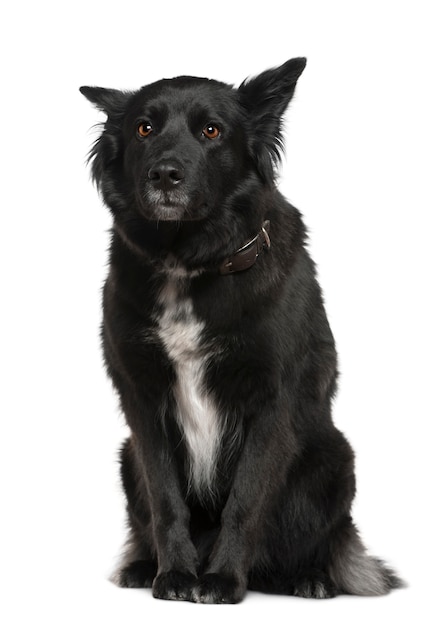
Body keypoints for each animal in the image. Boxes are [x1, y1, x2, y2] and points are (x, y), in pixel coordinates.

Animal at [80, 58, 402, 600]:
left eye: (211, 130)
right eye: (144, 128)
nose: (164, 174)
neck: (190, 263)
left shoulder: (271, 403)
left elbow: (246, 502)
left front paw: (223, 580)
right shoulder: (143, 402)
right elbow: (167, 500)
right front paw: (175, 575)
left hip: (334, 460)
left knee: (323, 540)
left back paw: (310, 578)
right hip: (126, 457)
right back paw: (143, 566)